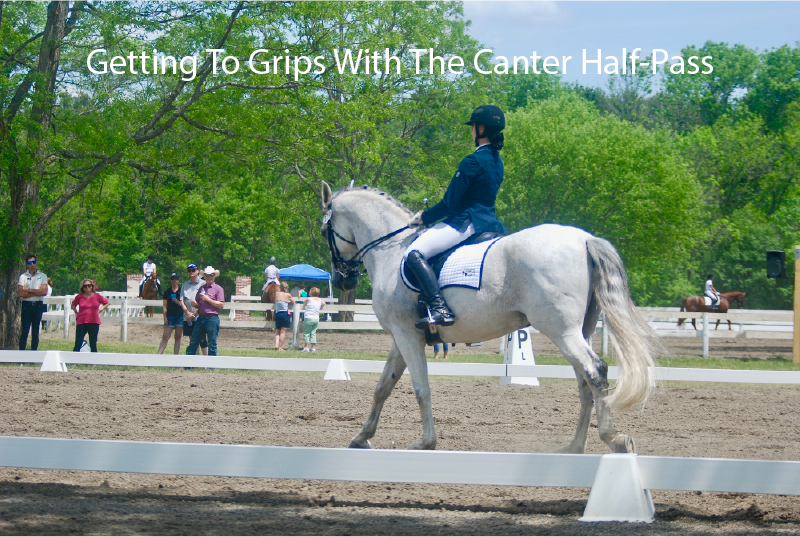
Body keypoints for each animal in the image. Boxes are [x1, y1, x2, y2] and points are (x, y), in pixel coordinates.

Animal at [322, 181, 660, 452]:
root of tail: (585, 239)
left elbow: (420, 387)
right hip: (581, 330)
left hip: (561, 330)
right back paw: (575, 446)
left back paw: (613, 439)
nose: (342, 280)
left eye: (325, 230)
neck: (392, 251)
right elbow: (383, 386)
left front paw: (426, 443)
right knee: (585, 383)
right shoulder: (403, 336)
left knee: (595, 370)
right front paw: (361, 437)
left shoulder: (405, 334)